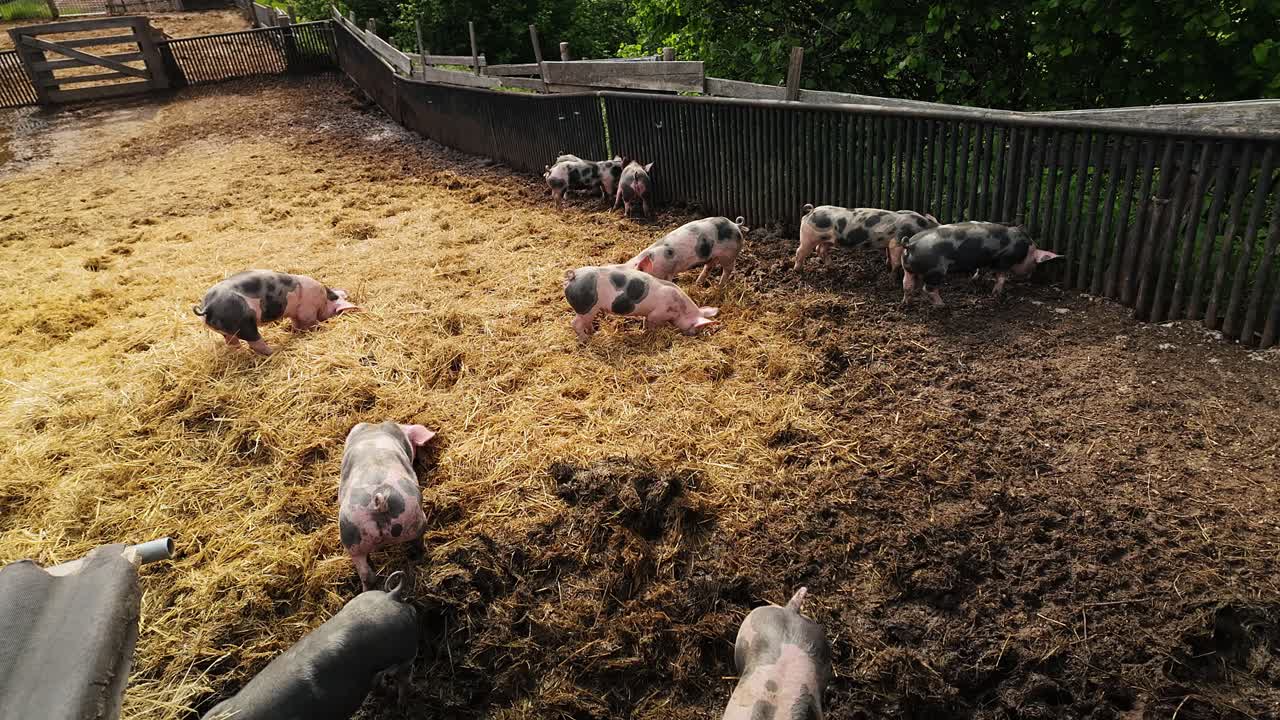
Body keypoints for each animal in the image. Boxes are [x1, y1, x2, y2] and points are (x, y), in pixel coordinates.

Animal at [193, 270, 359, 356]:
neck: (324, 299)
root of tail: (208, 306)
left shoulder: (296, 314)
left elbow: (296, 323)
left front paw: (296, 331)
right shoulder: (307, 310)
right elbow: (310, 323)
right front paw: (319, 329)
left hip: (227, 330)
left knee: (232, 342)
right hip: (245, 324)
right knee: (255, 342)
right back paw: (273, 352)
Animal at [563, 264, 718, 342]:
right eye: (695, 327)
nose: (693, 335)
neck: (679, 308)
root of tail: (573, 276)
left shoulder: (649, 314)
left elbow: (644, 321)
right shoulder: (657, 314)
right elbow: (651, 325)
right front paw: (650, 333)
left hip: (590, 310)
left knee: (586, 323)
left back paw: (594, 333)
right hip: (586, 308)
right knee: (575, 323)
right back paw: (585, 340)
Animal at [794, 203, 939, 272]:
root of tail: (811, 211)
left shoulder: (889, 243)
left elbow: (889, 255)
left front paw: (887, 265)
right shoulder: (897, 242)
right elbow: (896, 261)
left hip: (828, 240)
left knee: (820, 250)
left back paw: (833, 267)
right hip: (808, 238)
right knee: (800, 251)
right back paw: (798, 270)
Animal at [900, 222, 1062, 306]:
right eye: (1034, 263)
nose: (1030, 276)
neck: (1026, 248)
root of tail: (911, 244)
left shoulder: (984, 261)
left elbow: (981, 270)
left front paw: (975, 280)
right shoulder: (1004, 260)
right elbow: (1001, 277)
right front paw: (997, 294)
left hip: (907, 268)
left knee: (907, 285)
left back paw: (906, 303)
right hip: (936, 270)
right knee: (928, 289)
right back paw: (942, 305)